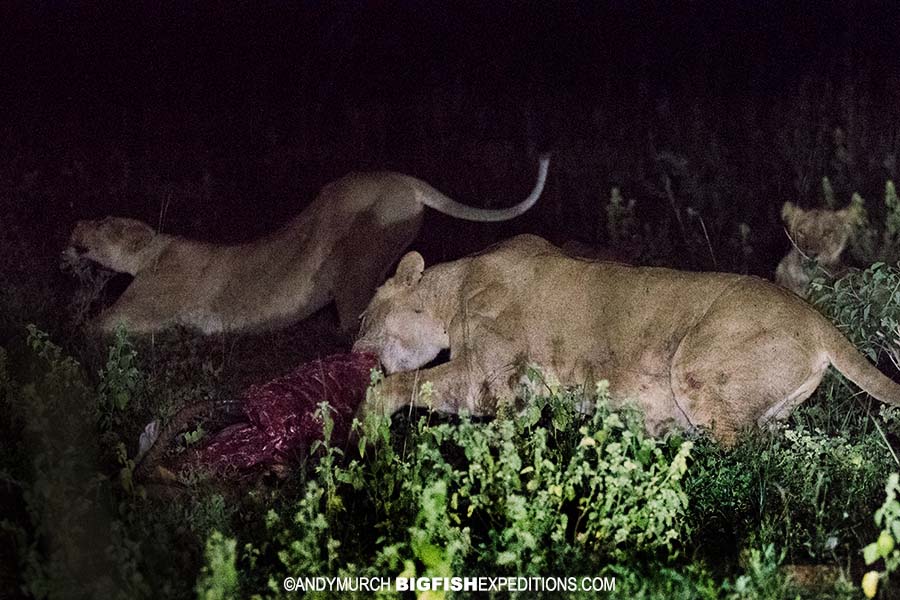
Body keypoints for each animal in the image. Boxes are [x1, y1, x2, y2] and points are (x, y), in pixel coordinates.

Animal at [64, 155, 549, 334]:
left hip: (357, 267)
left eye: (104, 221)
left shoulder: (137, 312)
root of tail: (406, 181)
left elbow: (86, 331)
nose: (74, 226)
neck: (153, 251)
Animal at [353, 234, 900, 445]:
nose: (353, 350)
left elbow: (399, 386)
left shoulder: (485, 381)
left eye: (362, 319)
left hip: (699, 372)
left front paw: (367, 433)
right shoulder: (517, 398)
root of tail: (817, 320)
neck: (455, 287)